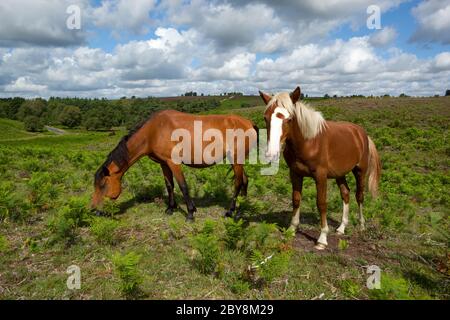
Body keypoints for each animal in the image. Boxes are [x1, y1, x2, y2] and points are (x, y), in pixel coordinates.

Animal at [90, 109, 256, 220]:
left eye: (103, 185)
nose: (93, 210)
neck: (154, 132)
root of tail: (249, 122)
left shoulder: (173, 163)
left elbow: (183, 186)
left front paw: (190, 212)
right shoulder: (164, 164)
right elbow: (169, 185)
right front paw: (170, 208)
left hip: (236, 160)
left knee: (238, 182)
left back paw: (230, 211)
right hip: (237, 161)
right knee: (244, 180)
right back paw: (241, 206)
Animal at [258, 87, 382, 250]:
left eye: (289, 119)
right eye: (265, 118)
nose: (271, 153)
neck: (309, 142)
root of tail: (362, 134)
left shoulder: (320, 176)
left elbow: (321, 203)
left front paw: (322, 238)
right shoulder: (295, 174)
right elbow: (296, 199)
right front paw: (292, 229)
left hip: (360, 171)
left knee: (359, 196)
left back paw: (361, 225)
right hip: (339, 174)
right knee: (345, 194)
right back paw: (341, 227)